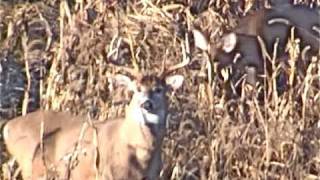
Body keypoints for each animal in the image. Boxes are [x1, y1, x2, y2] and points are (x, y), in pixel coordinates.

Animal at [2, 61, 186, 179]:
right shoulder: (107, 173)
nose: (146, 104)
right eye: (136, 89)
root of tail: (8, 126)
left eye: (159, 89)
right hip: (33, 167)